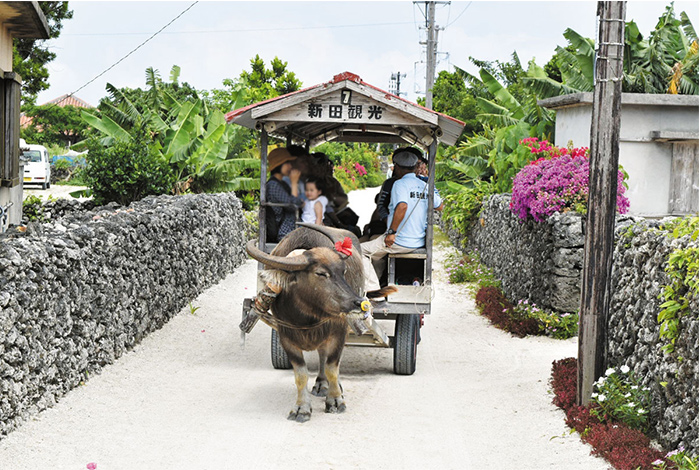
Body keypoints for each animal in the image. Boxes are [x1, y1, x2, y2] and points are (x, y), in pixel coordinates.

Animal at [246, 223, 392, 422]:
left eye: (343, 272)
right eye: (321, 273)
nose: (357, 302)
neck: (306, 314)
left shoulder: (338, 332)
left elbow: (332, 367)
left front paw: (336, 399)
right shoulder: (285, 336)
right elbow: (301, 375)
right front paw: (301, 408)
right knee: (322, 354)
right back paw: (322, 384)